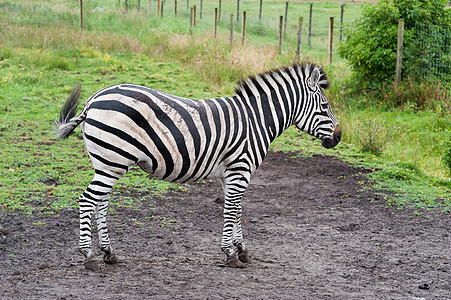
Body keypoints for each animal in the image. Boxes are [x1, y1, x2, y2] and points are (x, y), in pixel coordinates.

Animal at [54, 62, 340, 270]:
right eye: (325, 106)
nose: (338, 137)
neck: (256, 120)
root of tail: (92, 100)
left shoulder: (231, 173)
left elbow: (236, 210)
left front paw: (241, 249)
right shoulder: (240, 169)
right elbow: (232, 210)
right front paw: (230, 254)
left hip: (108, 163)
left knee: (100, 202)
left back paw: (108, 252)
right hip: (112, 160)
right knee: (87, 200)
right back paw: (89, 256)